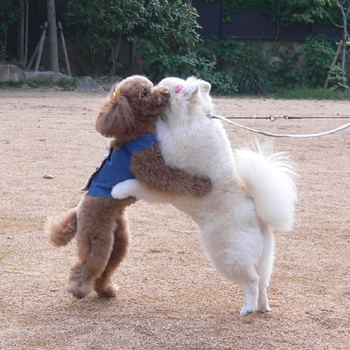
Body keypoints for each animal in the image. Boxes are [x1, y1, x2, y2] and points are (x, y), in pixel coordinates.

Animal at [111, 77, 296, 318]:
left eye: (167, 91)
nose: (159, 92)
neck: (192, 118)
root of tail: (257, 214)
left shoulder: (166, 174)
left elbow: (138, 181)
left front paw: (118, 189)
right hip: (264, 259)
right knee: (263, 283)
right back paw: (263, 307)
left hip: (227, 256)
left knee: (252, 282)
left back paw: (248, 308)